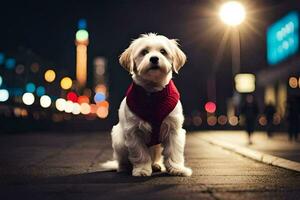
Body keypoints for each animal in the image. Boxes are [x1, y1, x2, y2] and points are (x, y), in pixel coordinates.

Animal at [108, 32, 192, 177]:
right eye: (144, 52)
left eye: (163, 51)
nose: (154, 59)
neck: (153, 93)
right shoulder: (133, 132)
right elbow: (141, 154)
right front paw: (142, 169)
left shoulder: (174, 130)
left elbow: (174, 152)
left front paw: (177, 169)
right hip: (119, 140)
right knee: (123, 159)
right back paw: (124, 168)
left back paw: (156, 165)